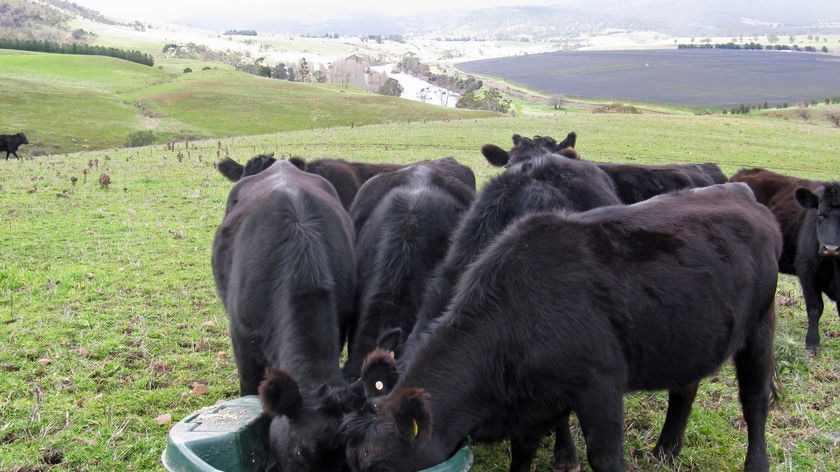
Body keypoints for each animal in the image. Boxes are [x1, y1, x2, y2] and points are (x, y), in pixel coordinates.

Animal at [342, 183, 780, 472]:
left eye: (376, 465)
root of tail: (741, 191)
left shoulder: (600, 386)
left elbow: (604, 458)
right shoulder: (534, 404)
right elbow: (523, 453)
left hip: (760, 329)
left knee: (755, 402)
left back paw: (754, 464)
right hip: (688, 337)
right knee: (684, 389)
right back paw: (665, 451)